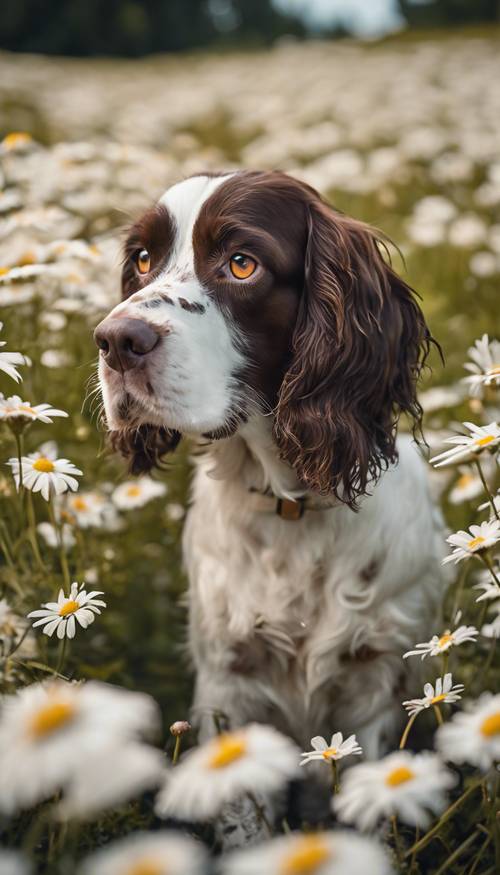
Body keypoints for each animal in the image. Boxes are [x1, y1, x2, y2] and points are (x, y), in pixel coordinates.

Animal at [95, 169, 448, 840]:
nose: (115, 341)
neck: (293, 508)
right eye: (144, 259)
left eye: (242, 263)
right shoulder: (229, 686)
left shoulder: (373, 688)